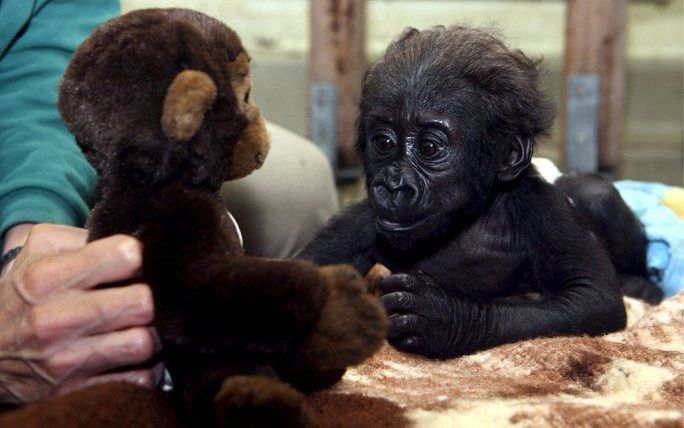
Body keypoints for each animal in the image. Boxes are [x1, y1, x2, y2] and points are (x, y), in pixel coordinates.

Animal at [298, 25, 656, 358]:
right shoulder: (355, 225)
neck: (467, 219)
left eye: (429, 148)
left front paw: (447, 319)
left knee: (595, 195)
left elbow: (592, 294)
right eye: (384, 142)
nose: (393, 185)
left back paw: (640, 282)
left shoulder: (542, 208)